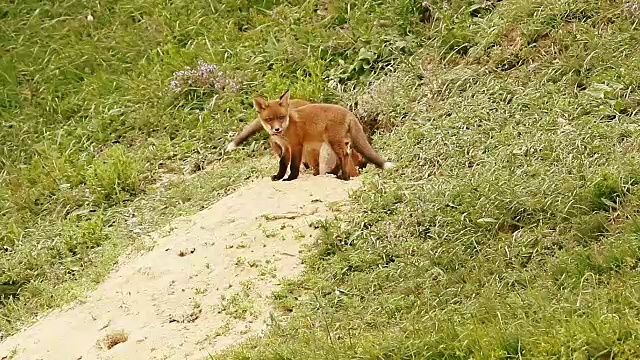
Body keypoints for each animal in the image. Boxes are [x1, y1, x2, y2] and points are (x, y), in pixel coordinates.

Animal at [252, 89, 392, 181]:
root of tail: (348, 111)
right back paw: (341, 175)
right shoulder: (285, 148)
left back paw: (344, 177)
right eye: (269, 119)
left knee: (344, 156)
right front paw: (279, 177)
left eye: (281, 117)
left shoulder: (296, 145)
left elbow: (293, 165)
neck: (287, 126)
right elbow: (282, 164)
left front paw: (291, 178)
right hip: (334, 143)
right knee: (345, 156)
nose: (277, 129)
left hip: (332, 141)